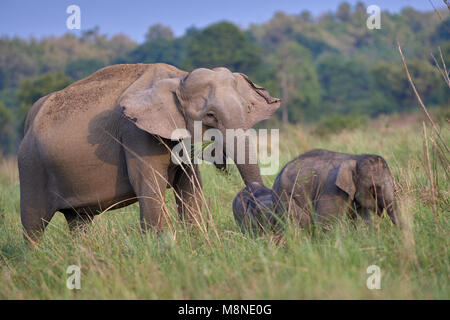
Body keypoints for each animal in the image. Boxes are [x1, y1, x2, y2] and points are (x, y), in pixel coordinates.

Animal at [19, 63, 280, 241]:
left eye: (247, 108)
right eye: (210, 115)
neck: (177, 77)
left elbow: (190, 187)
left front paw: (197, 243)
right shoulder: (136, 134)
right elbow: (150, 185)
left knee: (79, 221)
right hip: (31, 168)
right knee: (33, 225)